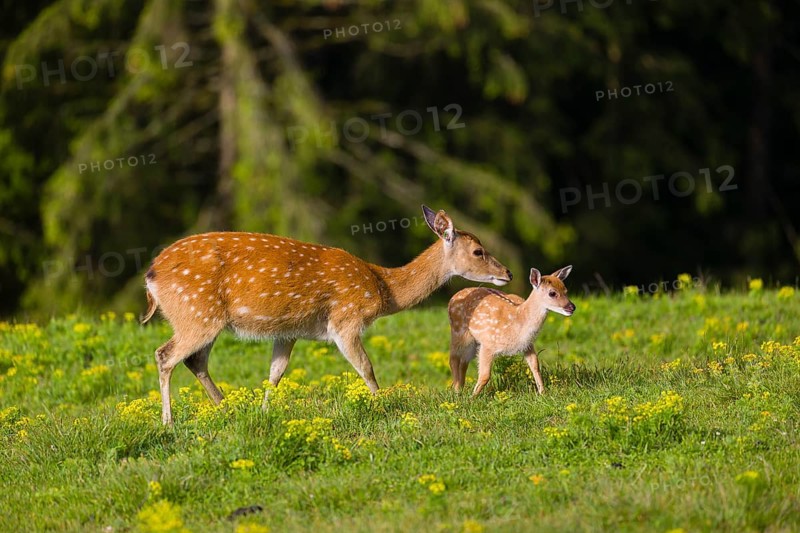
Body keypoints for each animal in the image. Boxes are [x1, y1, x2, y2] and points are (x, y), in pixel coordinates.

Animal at [141, 205, 513, 424]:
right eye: (478, 251)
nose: (508, 273)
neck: (381, 287)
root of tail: (150, 276)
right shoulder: (345, 319)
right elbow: (366, 367)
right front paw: (384, 405)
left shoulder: (288, 330)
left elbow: (275, 373)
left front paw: (263, 411)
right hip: (196, 313)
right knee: (165, 355)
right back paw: (168, 421)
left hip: (203, 319)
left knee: (194, 360)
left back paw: (227, 408)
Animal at [448, 265, 575, 396]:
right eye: (552, 293)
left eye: (565, 290)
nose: (572, 307)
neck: (517, 322)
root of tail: (453, 297)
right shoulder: (488, 343)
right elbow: (485, 375)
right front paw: (472, 398)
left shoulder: (527, 344)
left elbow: (535, 365)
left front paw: (543, 393)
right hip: (458, 330)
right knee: (453, 359)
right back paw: (456, 391)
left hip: (473, 341)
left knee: (464, 361)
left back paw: (460, 388)